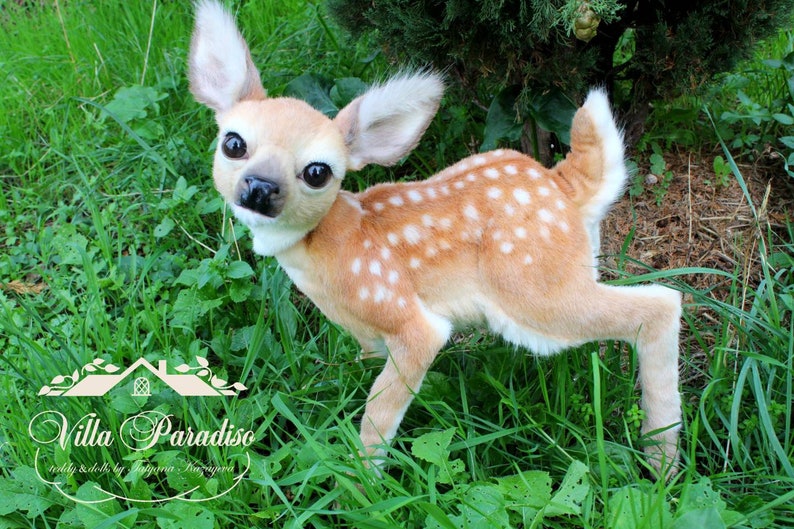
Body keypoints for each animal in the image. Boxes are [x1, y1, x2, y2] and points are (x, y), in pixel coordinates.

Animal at [187, 0, 682, 477]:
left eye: (317, 172)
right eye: (233, 143)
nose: (260, 187)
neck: (325, 251)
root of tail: (561, 185)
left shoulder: (402, 311)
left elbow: (380, 412)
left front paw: (361, 480)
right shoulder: (362, 329)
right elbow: (367, 363)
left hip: (533, 291)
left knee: (662, 302)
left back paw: (662, 459)